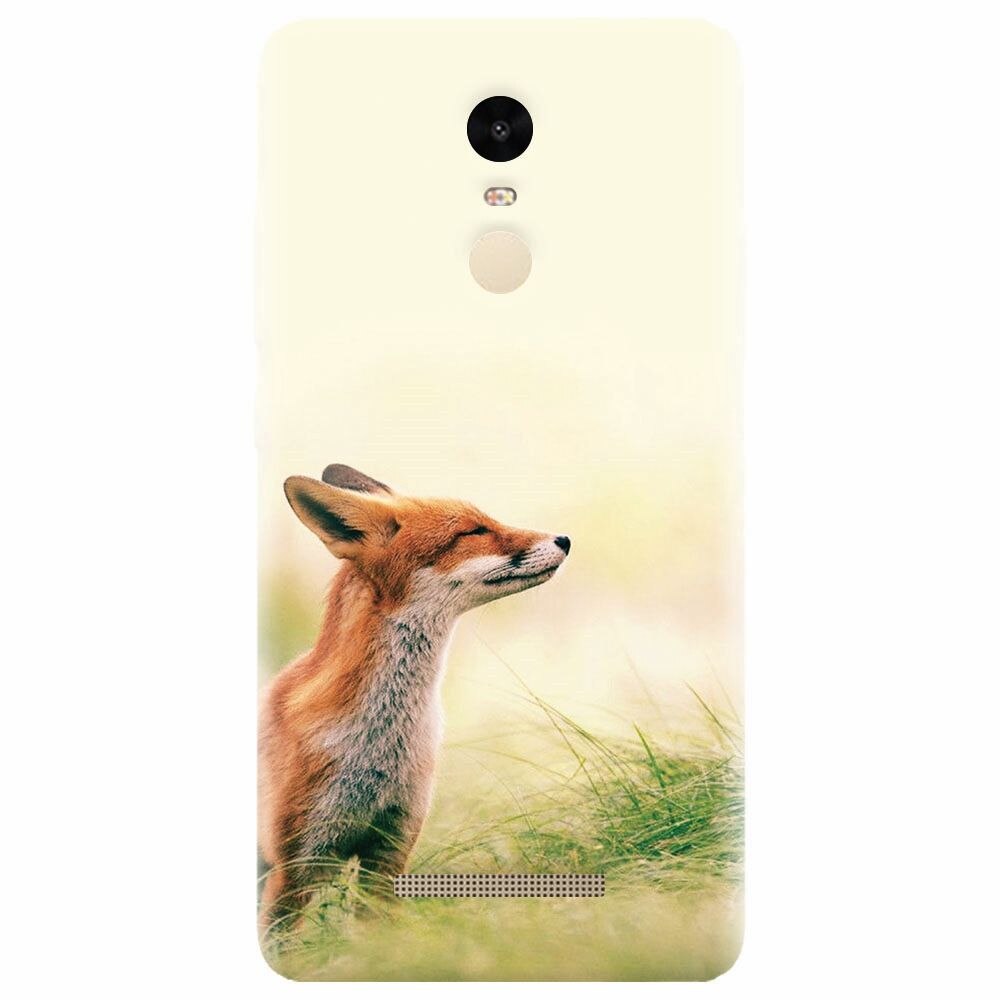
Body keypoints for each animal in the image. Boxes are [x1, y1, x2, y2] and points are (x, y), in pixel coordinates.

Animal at [258, 463, 570, 934]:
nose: (565, 540)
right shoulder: (292, 868)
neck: (380, 746)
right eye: (473, 531)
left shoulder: (389, 851)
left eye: (487, 519)